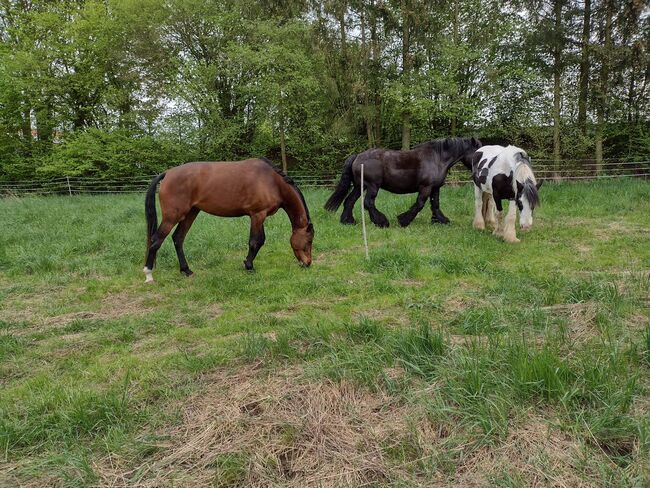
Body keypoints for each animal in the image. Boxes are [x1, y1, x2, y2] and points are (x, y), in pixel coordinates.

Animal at [142, 158, 314, 284]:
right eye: (309, 241)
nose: (308, 263)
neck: (272, 181)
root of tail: (167, 173)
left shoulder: (260, 216)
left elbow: (259, 241)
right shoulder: (258, 215)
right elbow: (256, 241)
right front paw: (249, 266)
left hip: (191, 213)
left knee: (178, 238)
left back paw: (186, 270)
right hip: (172, 216)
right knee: (156, 240)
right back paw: (149, 274)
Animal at [324, 136, 480, 228]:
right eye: (479, 151)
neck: (437, 158)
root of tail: (357, 156)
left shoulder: (435, 188)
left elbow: (435, 204)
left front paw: (441, 220)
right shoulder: (426, 187)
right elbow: (419, 204)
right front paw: (403, 220)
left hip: (359, 186)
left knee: (349, 201)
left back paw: (348, 221)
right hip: (372, 186)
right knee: (368, 203)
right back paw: (382, 222)